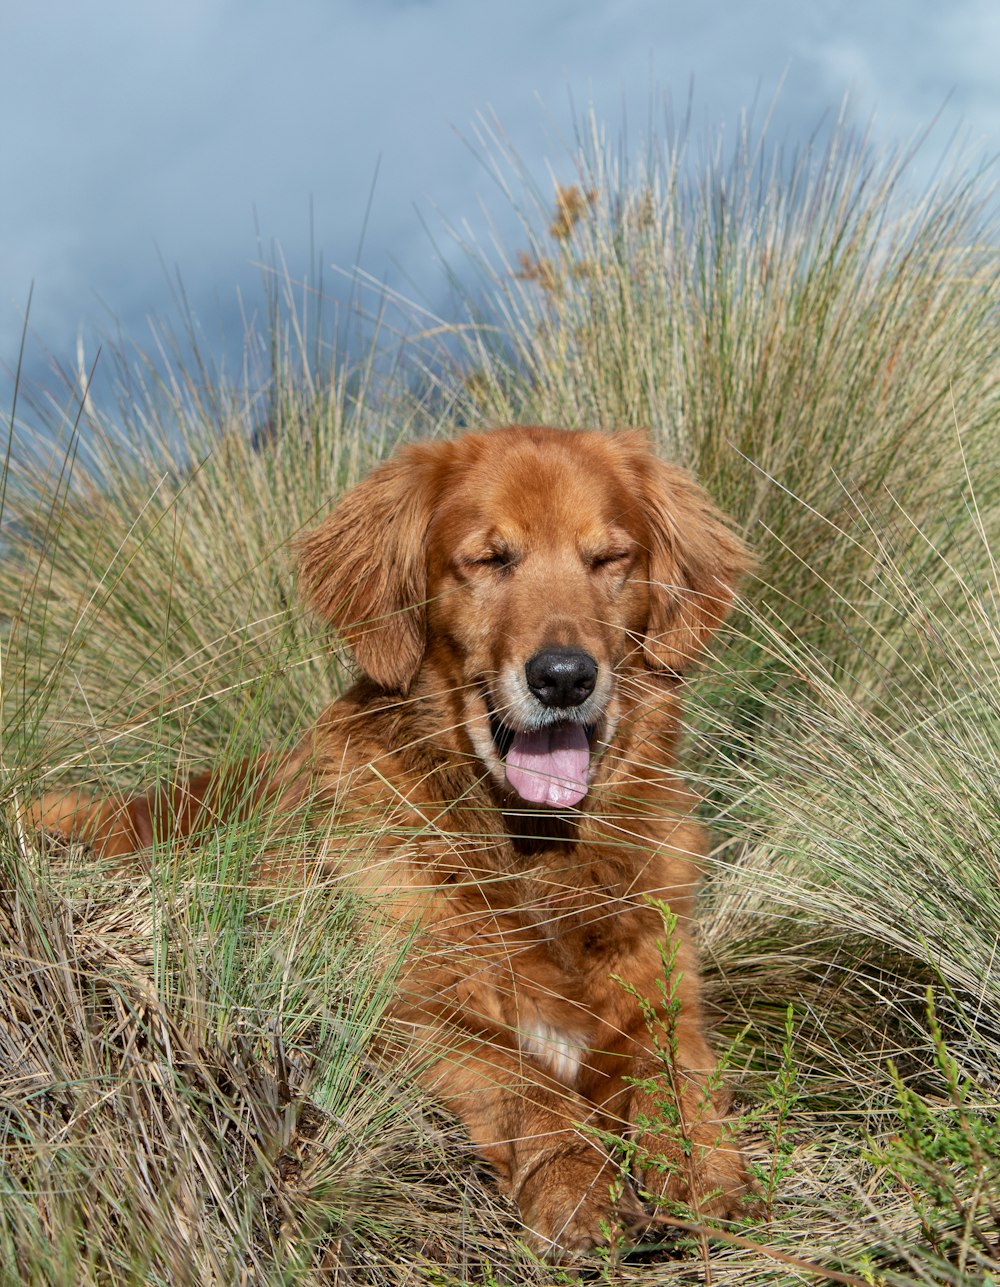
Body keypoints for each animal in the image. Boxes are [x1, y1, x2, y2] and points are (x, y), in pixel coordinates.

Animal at [41, 422, 756, 1256]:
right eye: (490, 558)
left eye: (609, 559)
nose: (564, 677)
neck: (530, 853)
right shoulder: (397, 1007)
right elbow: (519, 1072)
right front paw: (577, 1180)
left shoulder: (665, 989)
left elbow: (671, 1071)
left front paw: (704, 1169)